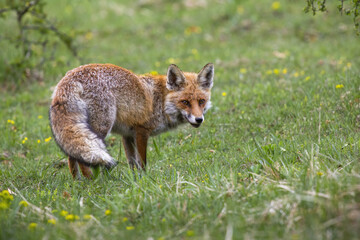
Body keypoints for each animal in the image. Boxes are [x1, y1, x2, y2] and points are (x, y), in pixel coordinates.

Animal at [50, 62, 214, 179]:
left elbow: (132, 162)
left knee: (72, 155)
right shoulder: (141, 131)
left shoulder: (127, 134)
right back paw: (91, 181)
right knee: (82, 158)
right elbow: (142, 161)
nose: (199, 119)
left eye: (201, 101)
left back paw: (77, 182)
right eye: (185, 102)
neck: (161, 101)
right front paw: (145, 180)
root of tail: (69, 78)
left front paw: (135, 180)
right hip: (100, 129)